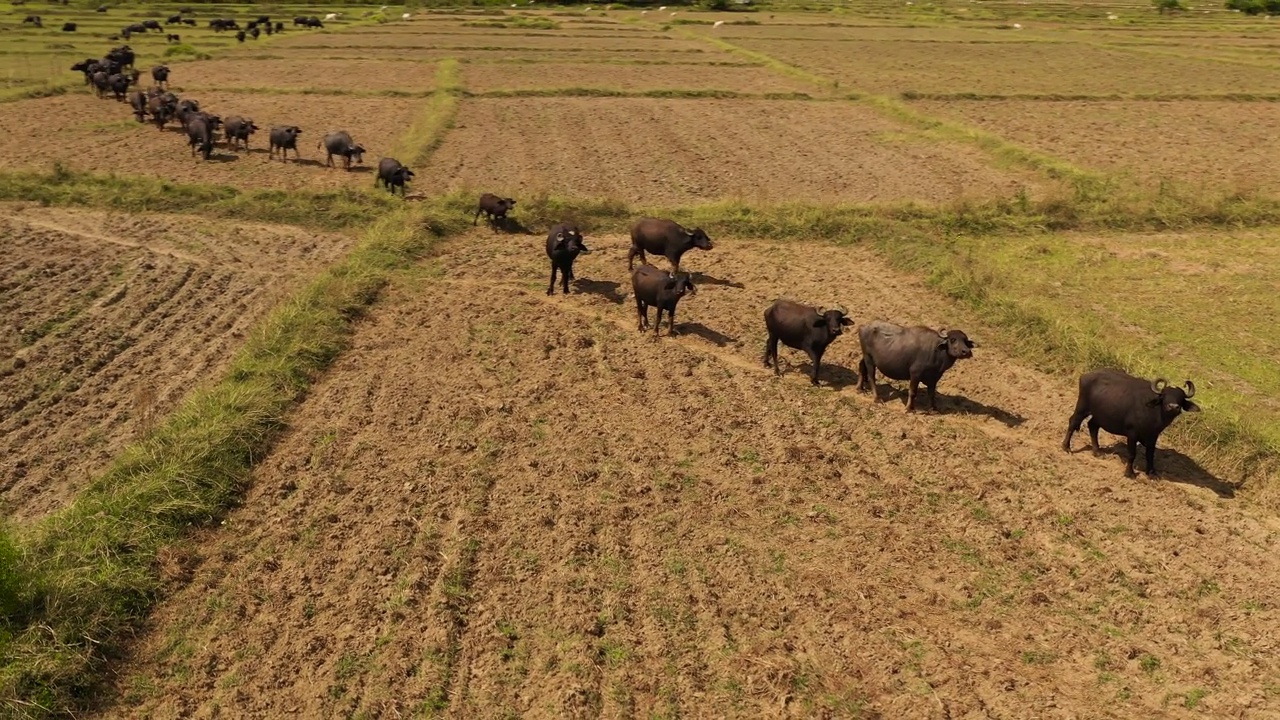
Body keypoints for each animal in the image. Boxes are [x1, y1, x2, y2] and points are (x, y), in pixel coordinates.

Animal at [1059, 368, 1198, 476]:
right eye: (1164, 396)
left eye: (1181, 398)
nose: (1173, 407)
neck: (1154, 416)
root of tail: (1085, 376)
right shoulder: (1132, 434)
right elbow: (1132, 454)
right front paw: (1129, 473)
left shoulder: (1153, 437)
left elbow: (1150, 455)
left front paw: (1152, 473)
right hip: (1082, 408)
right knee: (1073, 422)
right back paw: (1066, 447)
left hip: (1099, 415)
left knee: (1092, 426)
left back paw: (1097, 451)